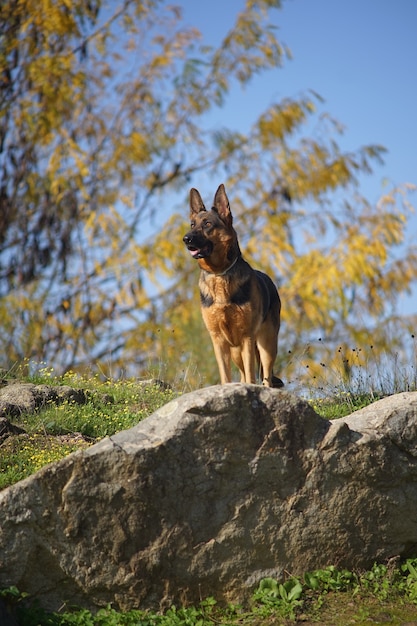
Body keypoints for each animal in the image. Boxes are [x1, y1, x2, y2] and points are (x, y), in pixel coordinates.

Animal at [183, 182, 282, 386]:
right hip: (236, 351)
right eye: (192, 225)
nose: (186, 239)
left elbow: (252, 376)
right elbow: (226, 376)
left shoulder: (246, 338)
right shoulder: (219, 341)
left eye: (207, 224)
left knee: (265, 377)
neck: (219, 274)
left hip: (266, 345)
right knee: (244, 375)